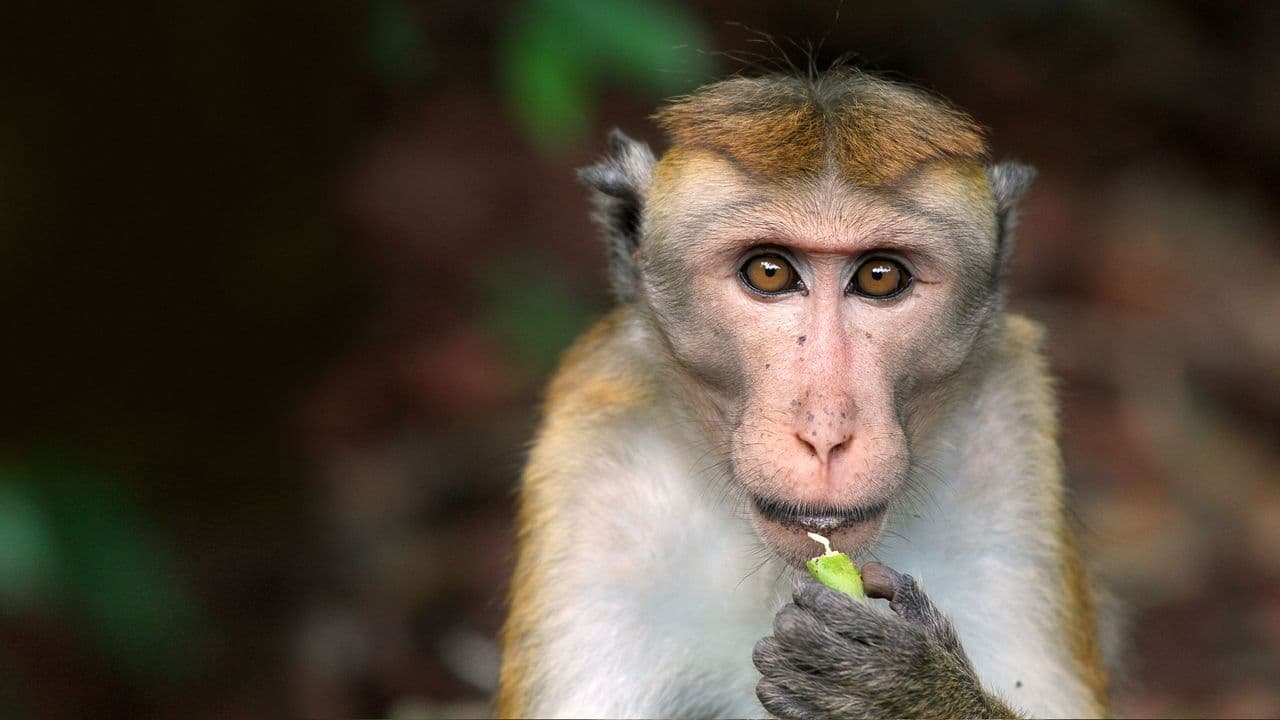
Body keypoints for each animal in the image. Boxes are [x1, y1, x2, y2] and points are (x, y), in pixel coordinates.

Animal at [495, 70, 1110, 719]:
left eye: (880, 276)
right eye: (769, 272)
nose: (825, 432)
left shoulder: (1007, 439)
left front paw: (898, 689)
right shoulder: (599, 473)